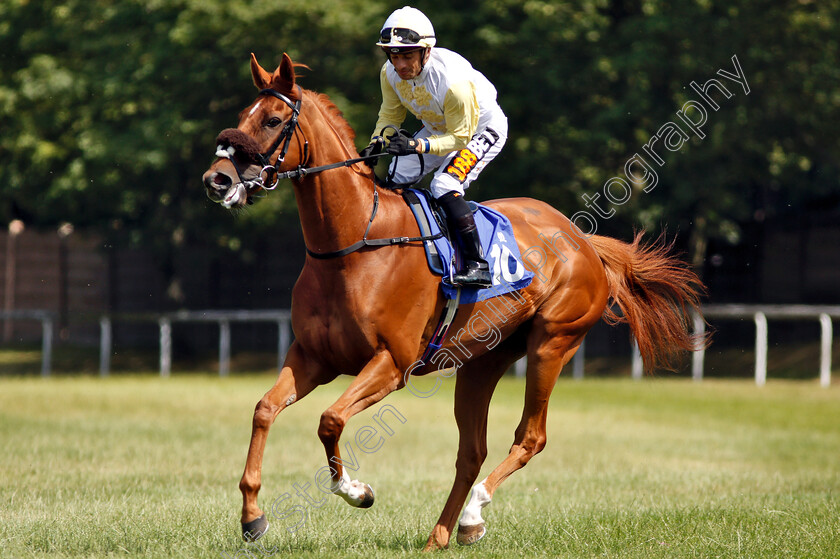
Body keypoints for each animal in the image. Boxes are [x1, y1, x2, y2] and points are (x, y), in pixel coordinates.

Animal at [202, 52, 704, 552]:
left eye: (272, 119)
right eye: (242, 116)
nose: (216, 179)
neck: (353, 244)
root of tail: (582, 240)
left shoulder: (392, 363)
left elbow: (330, 419)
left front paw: (356, 490)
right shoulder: (312, 357)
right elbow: (265, 409)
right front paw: (253, 517)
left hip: (552, 343)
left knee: (530, 438)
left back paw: (471, 515)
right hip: (483, 360)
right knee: (472, 451)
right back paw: (443, 534)